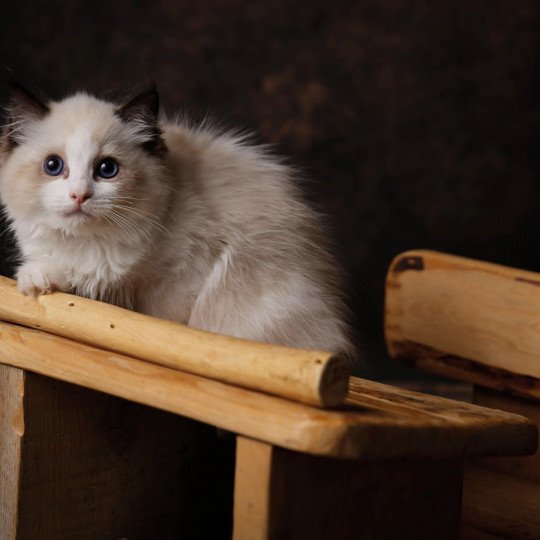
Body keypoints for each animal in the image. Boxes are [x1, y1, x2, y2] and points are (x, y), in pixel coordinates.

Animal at [0, 82, 354, 356]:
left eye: (107, 169)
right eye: (53, 166)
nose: (79, 196)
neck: (91, 245)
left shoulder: (188, 274)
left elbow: (170, 324)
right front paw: (36, 281)